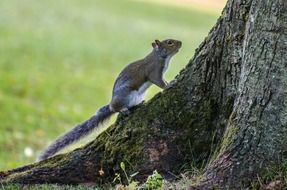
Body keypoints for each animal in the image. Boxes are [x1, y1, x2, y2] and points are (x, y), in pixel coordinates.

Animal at [38, 38, 182, 160]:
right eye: (169, 42)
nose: (180, 43)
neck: (161, 57)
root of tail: (111, 104)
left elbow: (163, 80)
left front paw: (170, 82)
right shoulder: (153, 71)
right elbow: (159, 82)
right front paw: (169, 85)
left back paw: (138, 104)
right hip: (125, 95)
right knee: (116, 108)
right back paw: (123, 110)